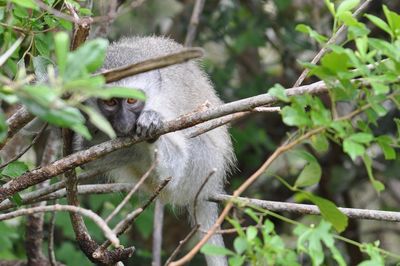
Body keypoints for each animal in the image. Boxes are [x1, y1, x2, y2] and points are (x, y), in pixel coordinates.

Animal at [76, 35, 234, 266]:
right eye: (111, 102)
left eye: (132, 100)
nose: (123, 123)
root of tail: (209, 185)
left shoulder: (164, 104)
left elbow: (176, 162)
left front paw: (152, 124)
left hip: (201, 168)